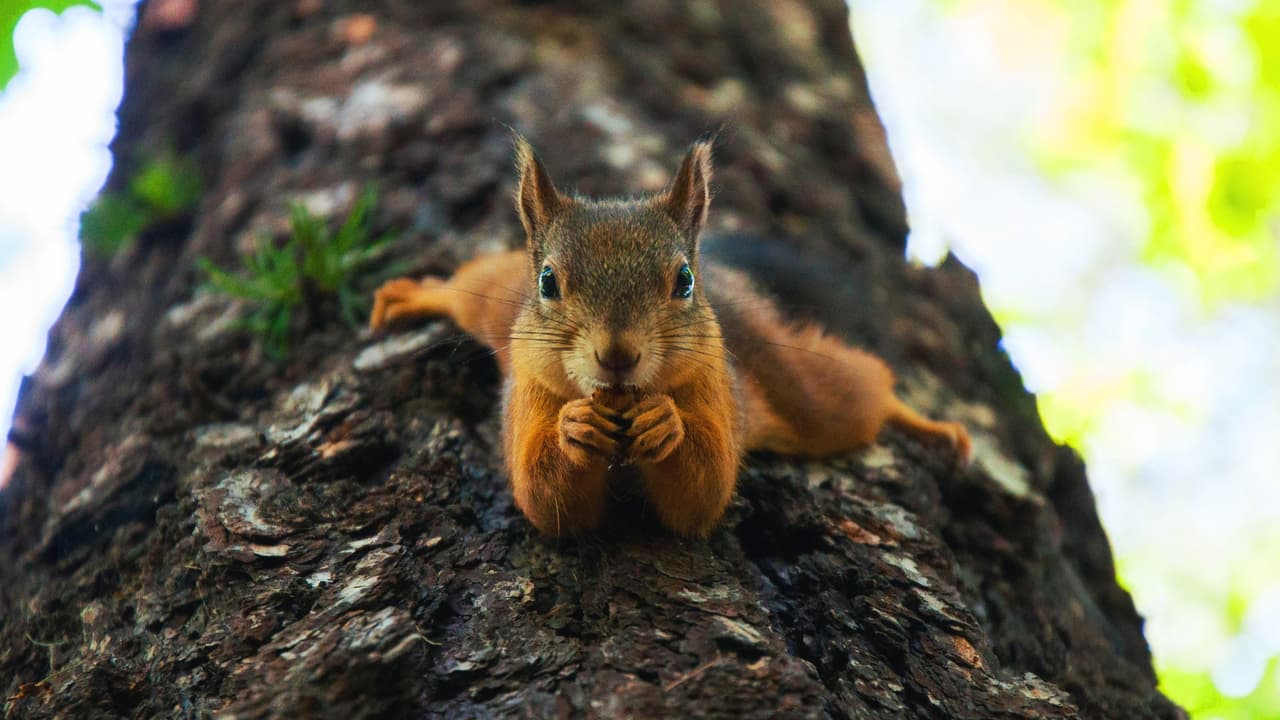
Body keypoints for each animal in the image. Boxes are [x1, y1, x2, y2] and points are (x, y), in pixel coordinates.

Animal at [369, 135, 971, 538]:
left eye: (683, 281)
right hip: (493, 299)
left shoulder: (713, 389)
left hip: (800, 391)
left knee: (858, 391)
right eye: (548, 282)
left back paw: (930, 426)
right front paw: (573, 427)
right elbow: (544, 498)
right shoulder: (530, 397)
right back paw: (413, 295)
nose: (617, 355)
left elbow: (703, 492)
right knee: (465, 289)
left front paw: (667, 424)